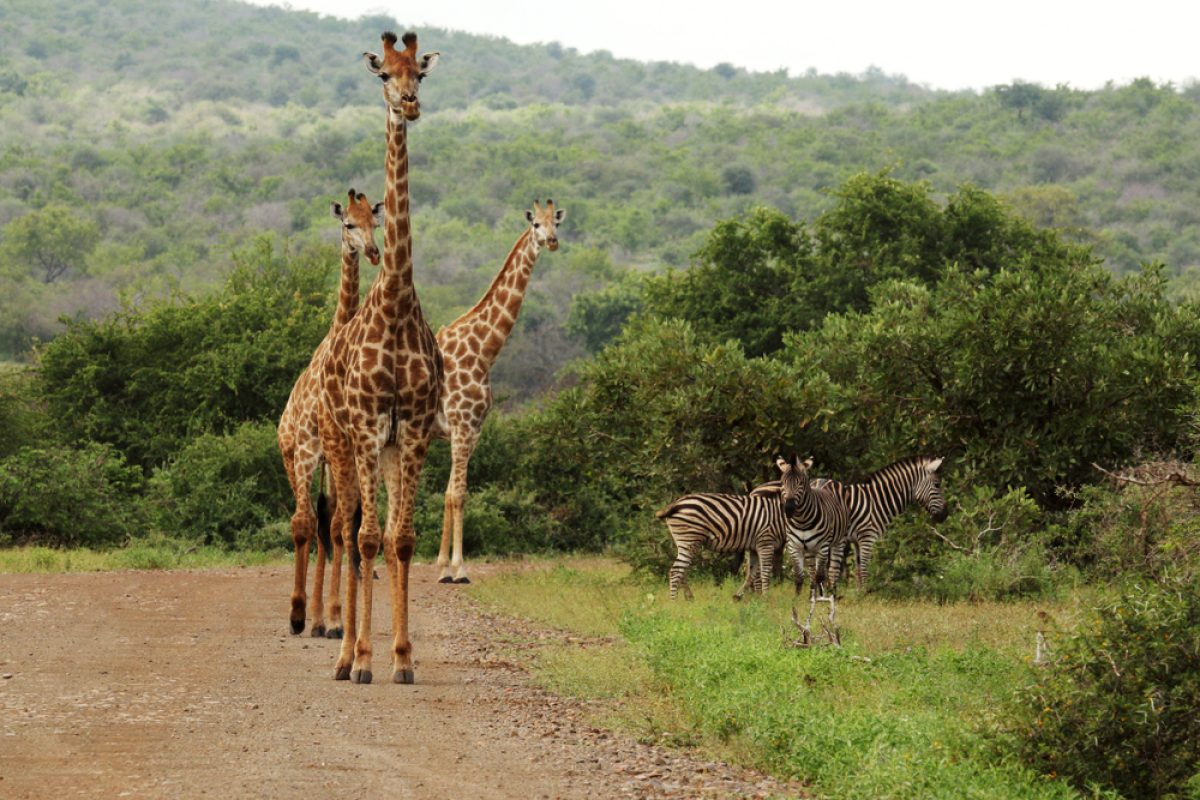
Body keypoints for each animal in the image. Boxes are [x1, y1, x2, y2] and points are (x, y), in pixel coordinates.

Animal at [657, 455, 813, 601]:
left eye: (801, 483)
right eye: (784, 482)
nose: (789, 508)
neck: (777, 513)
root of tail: (676, 503)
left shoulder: (755, 546)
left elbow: (752, 573)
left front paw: (742, 597)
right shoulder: (766, 542)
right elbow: (764, 572)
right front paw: (765, 598)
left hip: (686, 542)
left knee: (682, 570)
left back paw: (689, 598)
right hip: (689, 539)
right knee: (676, 571)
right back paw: (674, 602)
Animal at [752, 455, 947, 590]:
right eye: (937, 485)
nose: (945, 515)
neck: (876, 501)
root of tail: (755, 489)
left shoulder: (856, 541)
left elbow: (859, 568)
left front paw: (859, 593)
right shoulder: (867, 537)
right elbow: (865, 567)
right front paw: (866, 594)